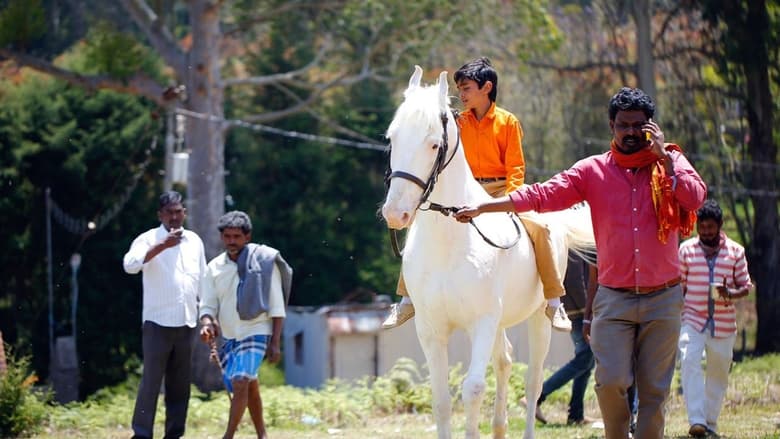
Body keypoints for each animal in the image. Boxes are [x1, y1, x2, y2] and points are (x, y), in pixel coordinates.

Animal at [380, 66, 596, 439]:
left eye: (433, 144)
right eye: (392, 140)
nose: (395, 214)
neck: (451, 244)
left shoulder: (480, 322)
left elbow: (473, 389)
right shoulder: (431, 328)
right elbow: (441, 400)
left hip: (537, 318)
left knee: (533, 381)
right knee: (505, 361)